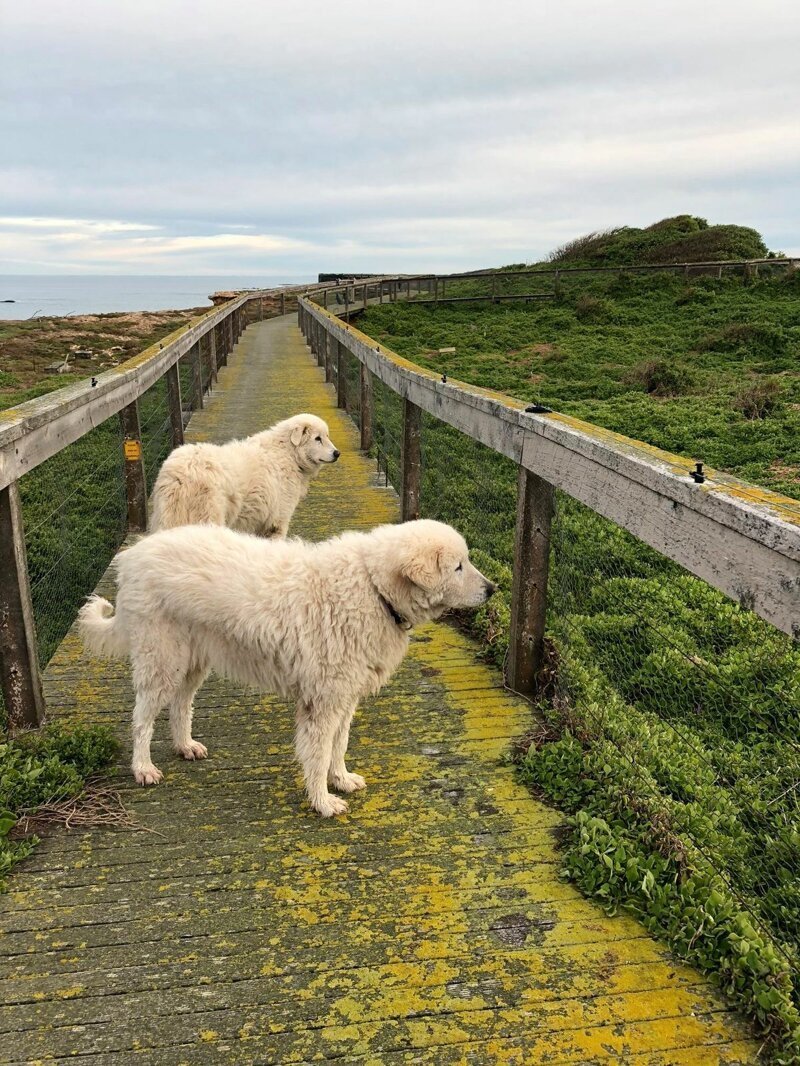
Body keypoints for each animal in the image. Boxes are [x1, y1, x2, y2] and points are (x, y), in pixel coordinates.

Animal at [80, 522, 494, 814]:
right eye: (458, 566)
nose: (492, 589)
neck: (373, 590)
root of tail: (133, 555)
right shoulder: (323, 701)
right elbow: (318, 753)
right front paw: (323, 802)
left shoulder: (344, 698)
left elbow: (339, 746)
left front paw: (341, 780)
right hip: (162, 660)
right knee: (141, 718)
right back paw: (143, 768)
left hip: (193, 660)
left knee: (181, 705)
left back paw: (185, 746)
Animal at [149, 411, 339, 537]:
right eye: (317, 438)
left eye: (327, 436)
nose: (337, 453)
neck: (288, 454)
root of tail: (178, 475)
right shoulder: (277, 522)